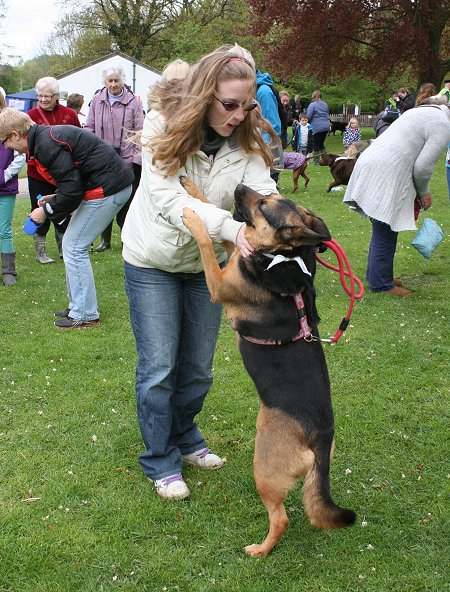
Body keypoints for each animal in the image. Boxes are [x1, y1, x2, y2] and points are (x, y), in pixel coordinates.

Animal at [181, 184, 356, 556]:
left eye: (263, 204)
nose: (238, 187)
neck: (281, 256)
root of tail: (320, 437)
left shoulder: (219, 282)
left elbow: (205, 243)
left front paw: (192, 219)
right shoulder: (236, 251)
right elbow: (214, 211)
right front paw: (191, 189)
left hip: (263, 469)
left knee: (281, 518)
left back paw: (260, 550)